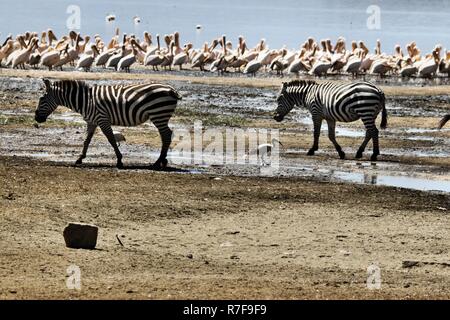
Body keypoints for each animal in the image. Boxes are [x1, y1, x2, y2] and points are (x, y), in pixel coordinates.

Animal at [35, 79, 182, 169]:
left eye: (41, 99)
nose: (36, 118)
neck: (85, 101)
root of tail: (171, 89)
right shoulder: (92, 122)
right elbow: (87, 140)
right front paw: (80, 158)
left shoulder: (102, 119)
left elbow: (111, 139)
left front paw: (119, 160)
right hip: (160, 115)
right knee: (166, 135)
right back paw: (162, 161)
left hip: (158, 114)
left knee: (166, 135)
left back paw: (158, 162)